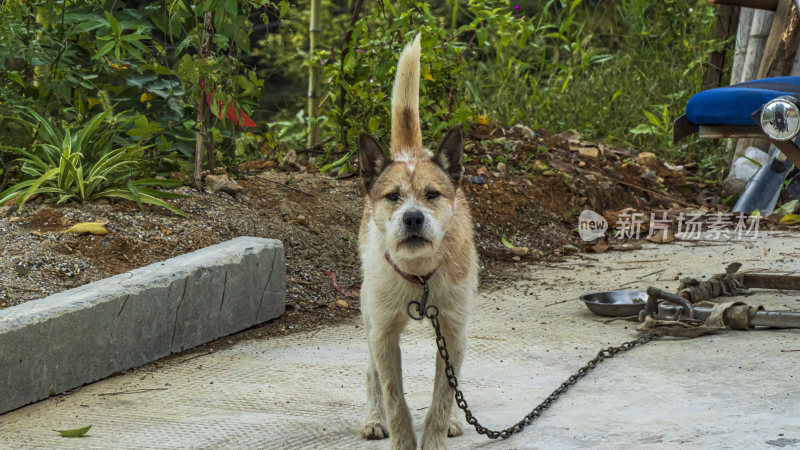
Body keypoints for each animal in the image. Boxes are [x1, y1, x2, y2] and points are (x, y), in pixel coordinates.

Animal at [356, 33, 476, 448]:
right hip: (368, 315)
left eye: (432, 195)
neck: (420, 276)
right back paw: (374, 418)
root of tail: (411, 151)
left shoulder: (453, 330)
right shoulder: (383, 335)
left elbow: (443, 394)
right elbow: (394, 396)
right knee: (371, 373)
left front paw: (437, 435)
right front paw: (401, 438)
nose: (412, 217)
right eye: (393, 196)